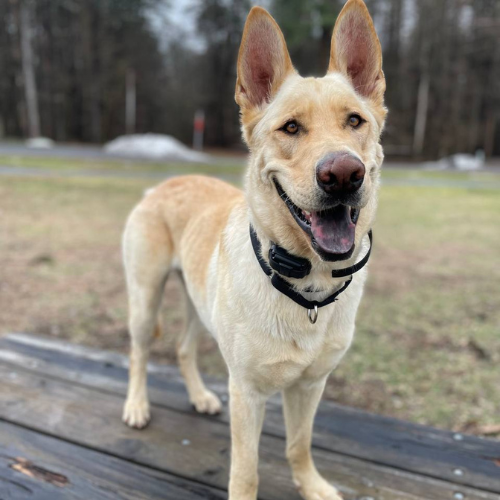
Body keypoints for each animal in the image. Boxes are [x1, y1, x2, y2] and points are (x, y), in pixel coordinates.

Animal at [122, 0, 386, 500]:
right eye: (291, 127)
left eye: (355, 121)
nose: (344, 174)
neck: (308, 286)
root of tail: (162, 184)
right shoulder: (247, 392)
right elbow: (246, 470)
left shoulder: (310, 386)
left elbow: (299, 446)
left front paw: (311, 485)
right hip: (145, 301)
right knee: (140, 355)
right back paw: (136, 405)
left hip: (197, 302)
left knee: (183, 349)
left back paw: (200, 397)